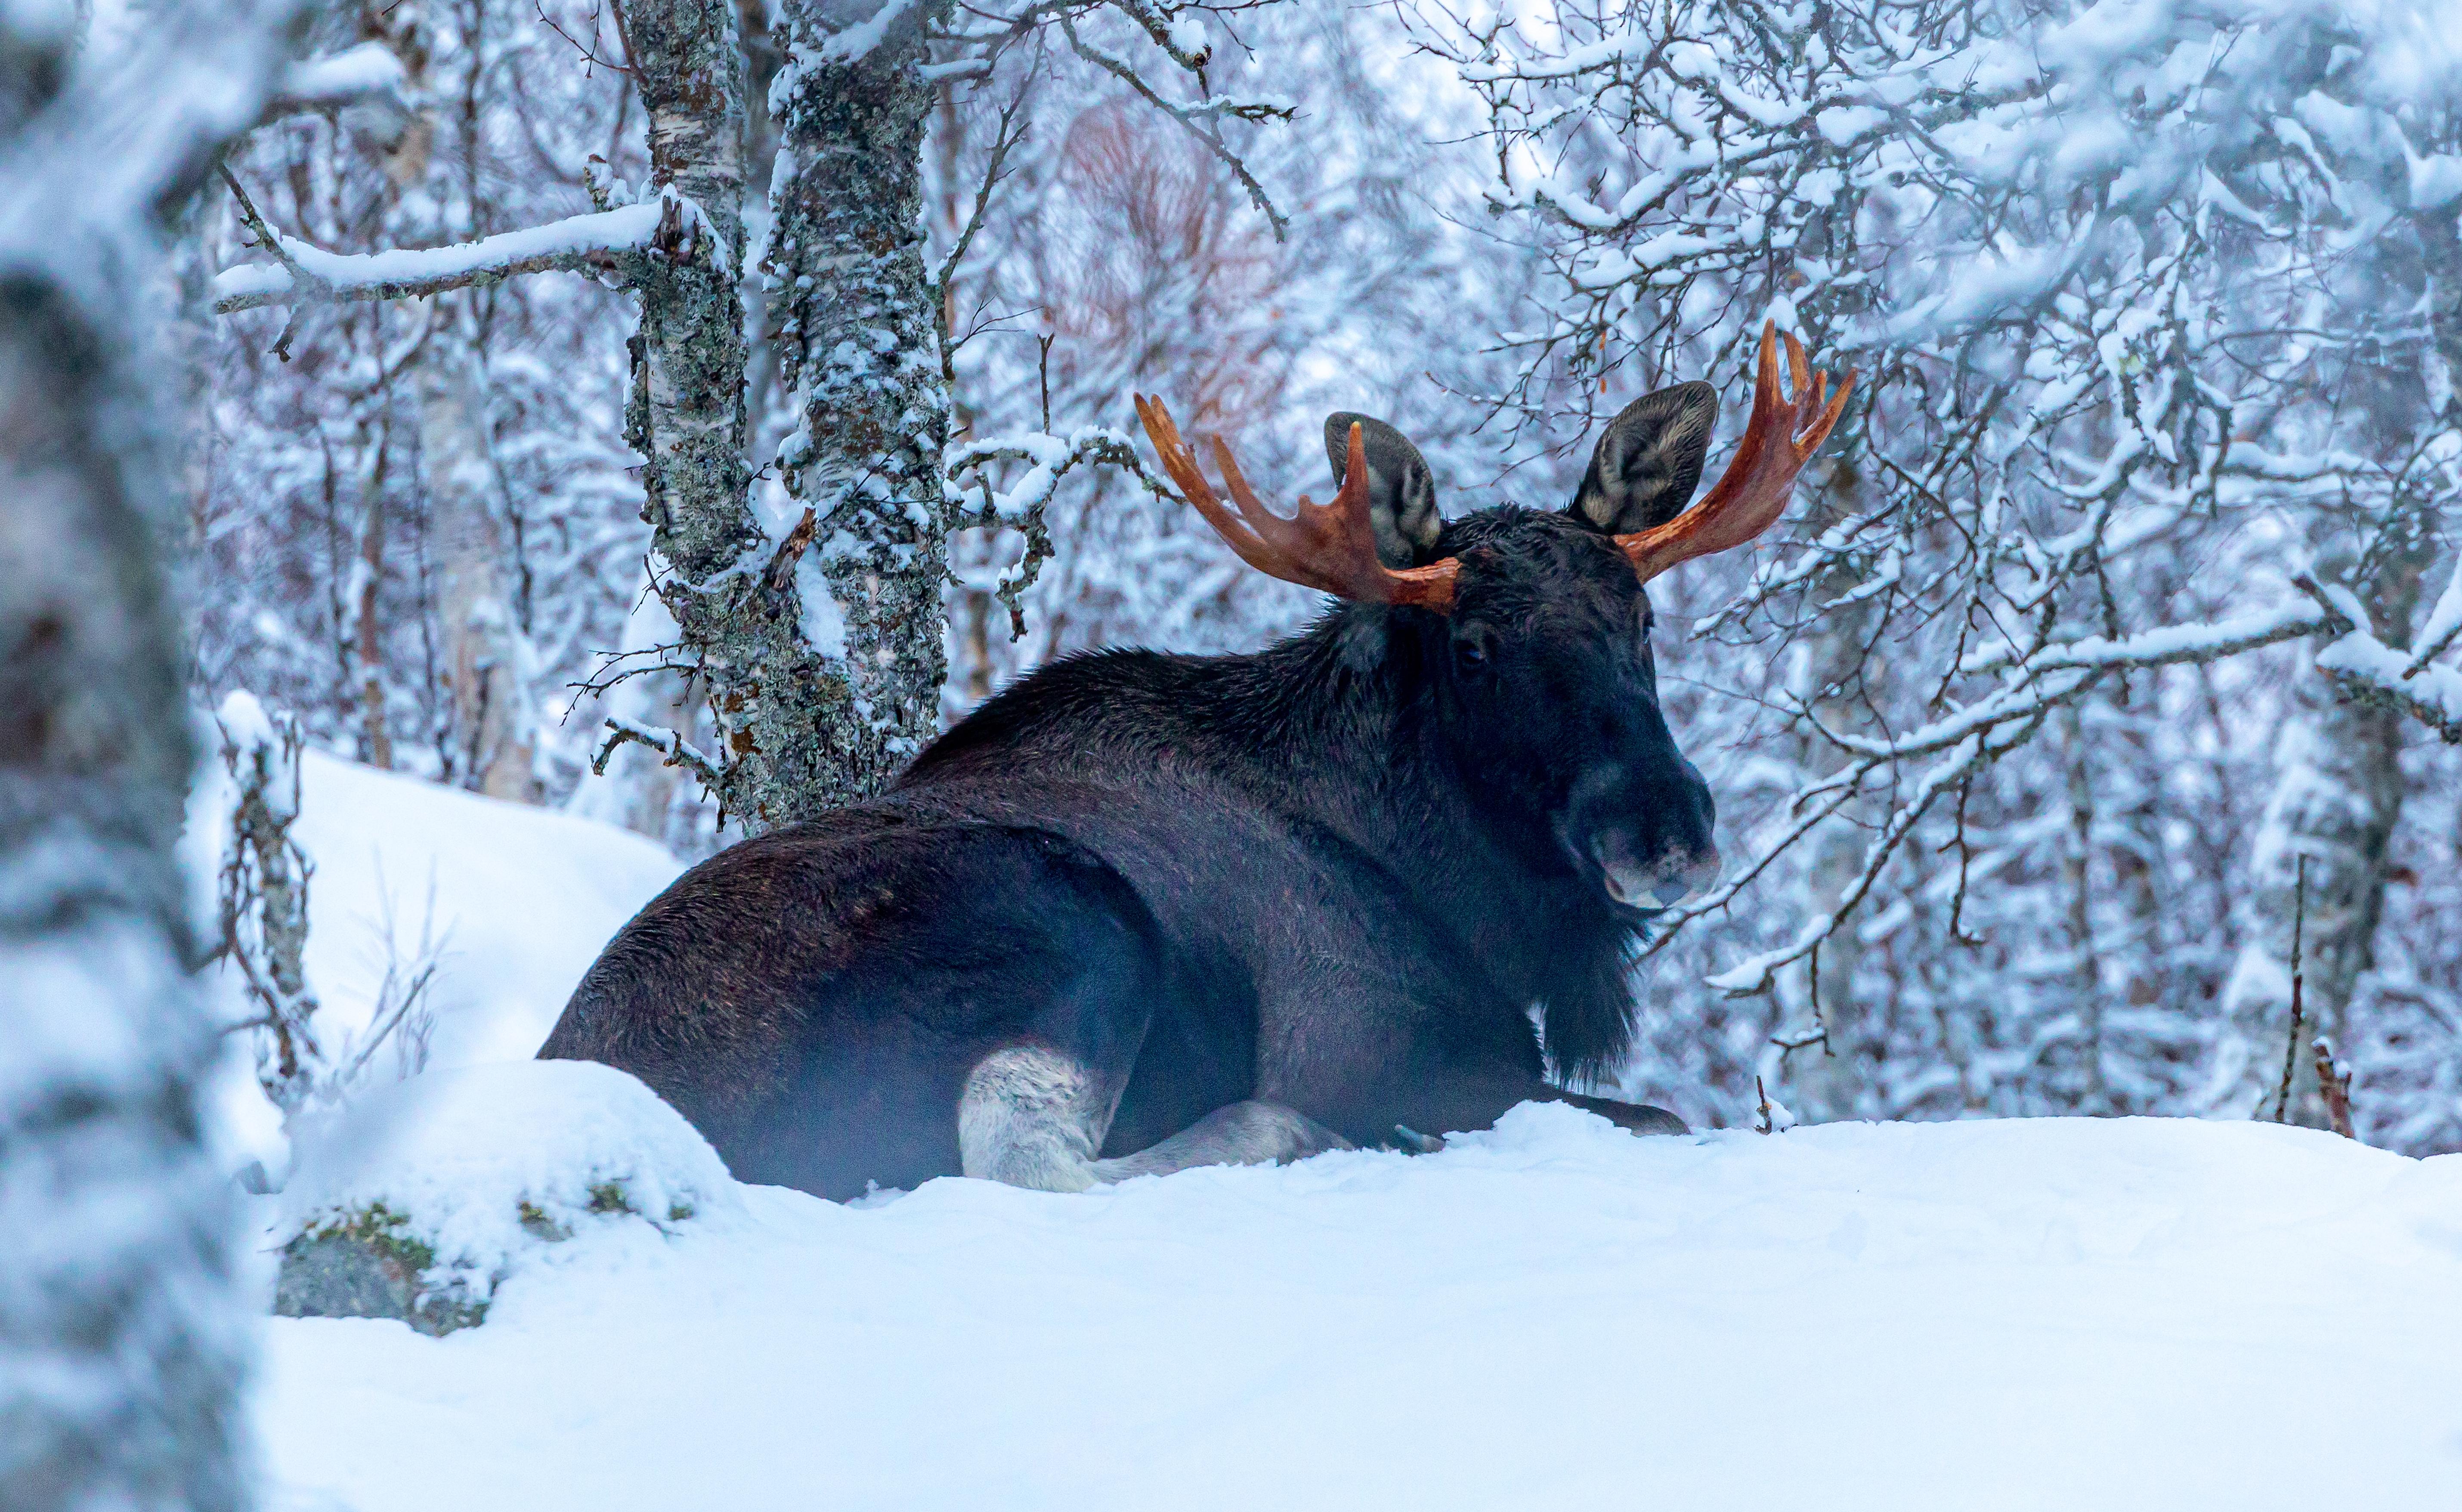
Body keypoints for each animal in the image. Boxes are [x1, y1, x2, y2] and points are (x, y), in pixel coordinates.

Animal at [539, 324, 1853, 1198]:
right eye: (1474, 646)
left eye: (1642, 617)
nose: (1663, 825)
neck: (1451, 881)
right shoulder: (1390, 1051)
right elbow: (1666, 1116)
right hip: (1072, 919)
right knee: (1023, 1166)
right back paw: (1283, 1132)